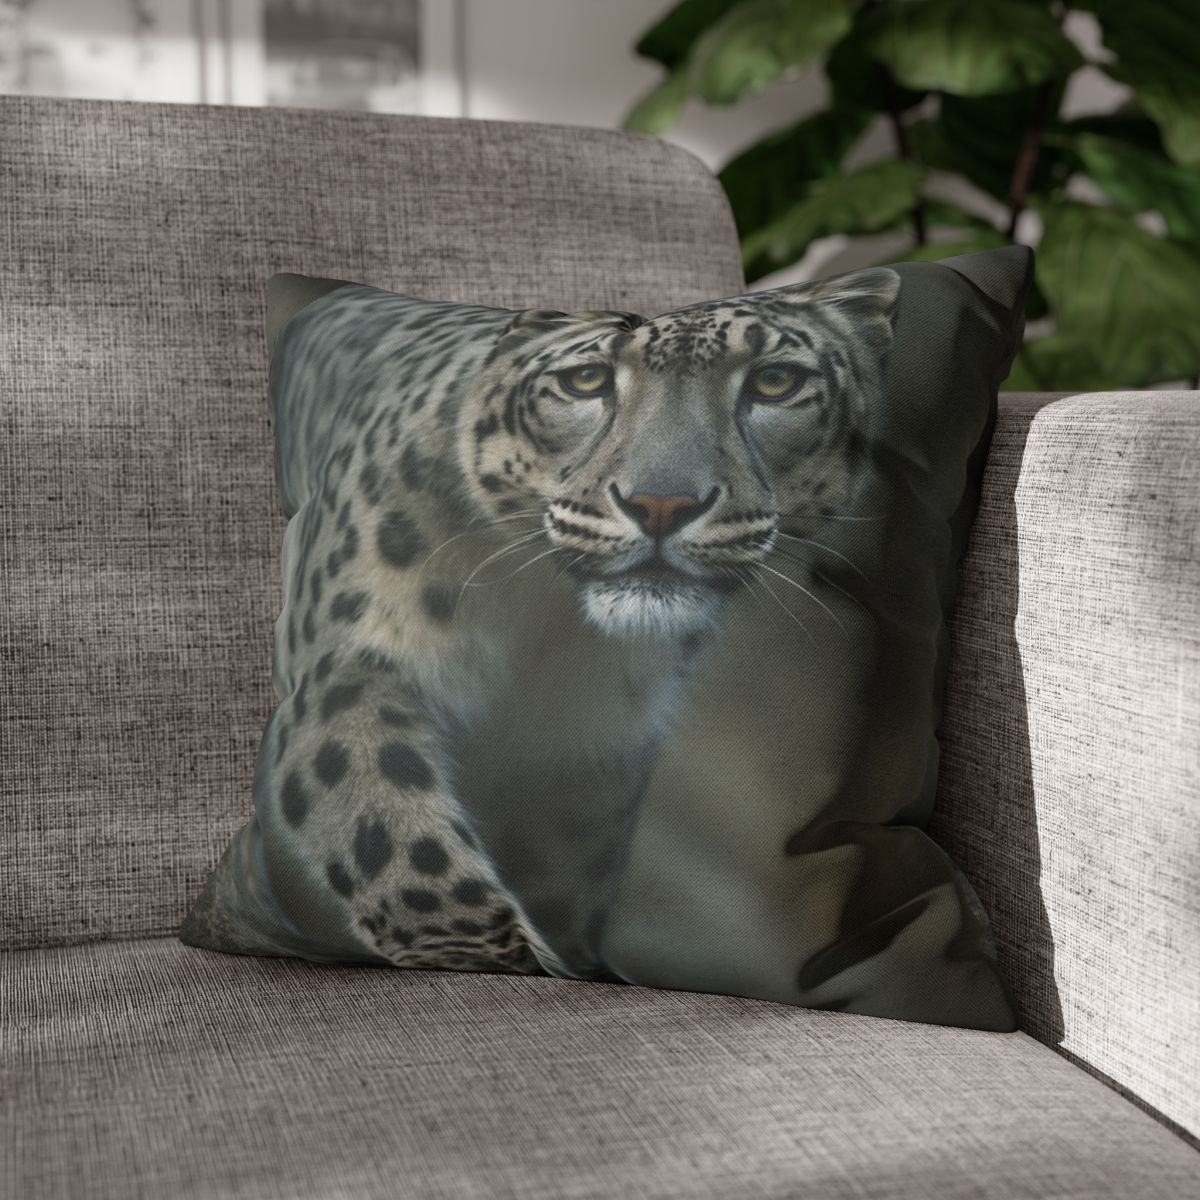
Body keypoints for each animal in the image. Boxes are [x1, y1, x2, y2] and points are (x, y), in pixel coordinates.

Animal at [180, 268, 901, 983]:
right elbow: (392, 833)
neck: (536, 623)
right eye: (585, 381)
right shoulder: (350, 669)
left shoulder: (584, 757)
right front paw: (493, 950)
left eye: (775, 381)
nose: (660, 504)